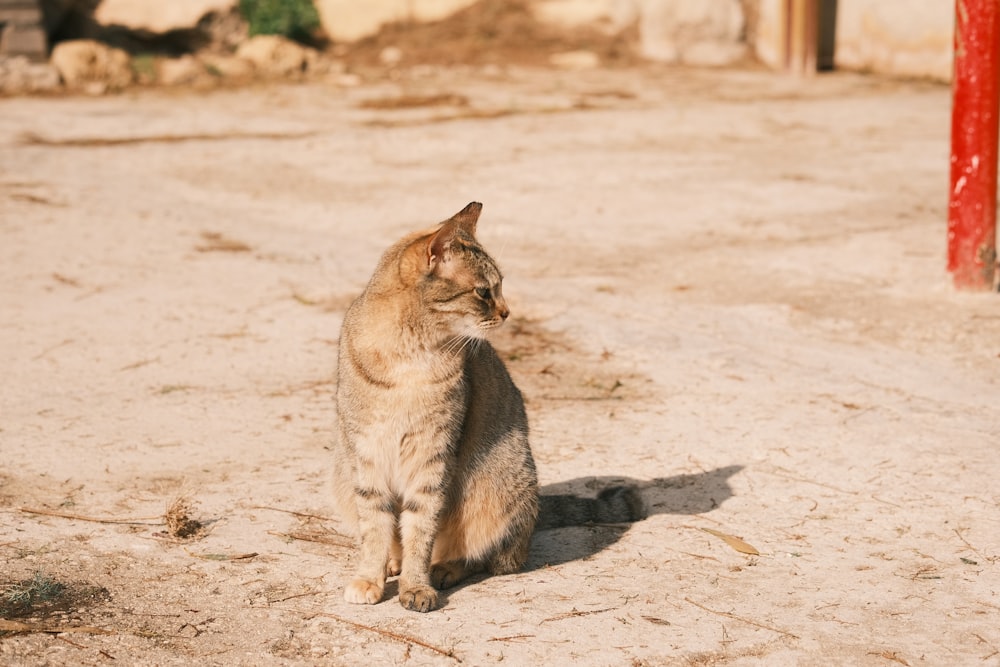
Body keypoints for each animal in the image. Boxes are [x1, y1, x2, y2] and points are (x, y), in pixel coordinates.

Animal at [332, 201, 644, 612]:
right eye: (483, 291)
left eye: (499, 287)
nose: (507, 312)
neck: (411, 353)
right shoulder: (367, 454)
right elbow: (375, 528)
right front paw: (371, 576)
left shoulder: (432, 458)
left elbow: (421, 528)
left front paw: (416, 585)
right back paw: (394, 563)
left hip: (497, 481)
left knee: (492, 557)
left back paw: (444, 568)